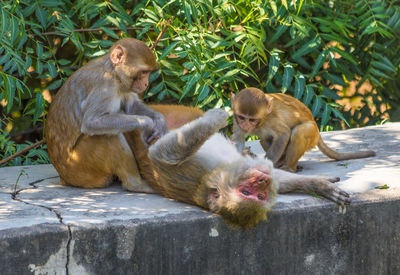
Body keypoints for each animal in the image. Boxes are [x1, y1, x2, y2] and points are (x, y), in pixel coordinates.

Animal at [45, 37, 167, 193]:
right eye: (143, 72)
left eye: (148, 72)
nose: (146, 84)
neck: (114, 73)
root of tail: (63, 177)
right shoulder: (104, 85)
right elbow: (92, 122)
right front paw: (148, 124)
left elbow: (131, 106)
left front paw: (160, 120)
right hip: (80, 168)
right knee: (108, 135)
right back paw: (135, 184)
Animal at [123, 109, 352, 230]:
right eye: (246, 192)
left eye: (261, 196)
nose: (263, 181)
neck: (217, 174)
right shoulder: (192, 173)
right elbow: (161, 154)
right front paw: (217, 116)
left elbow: (278, 177)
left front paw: (319, 185)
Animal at [230, 87, 376, 174]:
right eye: (242, 117)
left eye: (252, 120)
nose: (245, 125)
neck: (260, 122)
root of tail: (316, 127)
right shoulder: (236, 121)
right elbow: (238, 142)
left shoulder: (272, 119)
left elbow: (284, 134)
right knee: (264, 140)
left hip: (312, 133)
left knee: (299, 132)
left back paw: (290, 168)